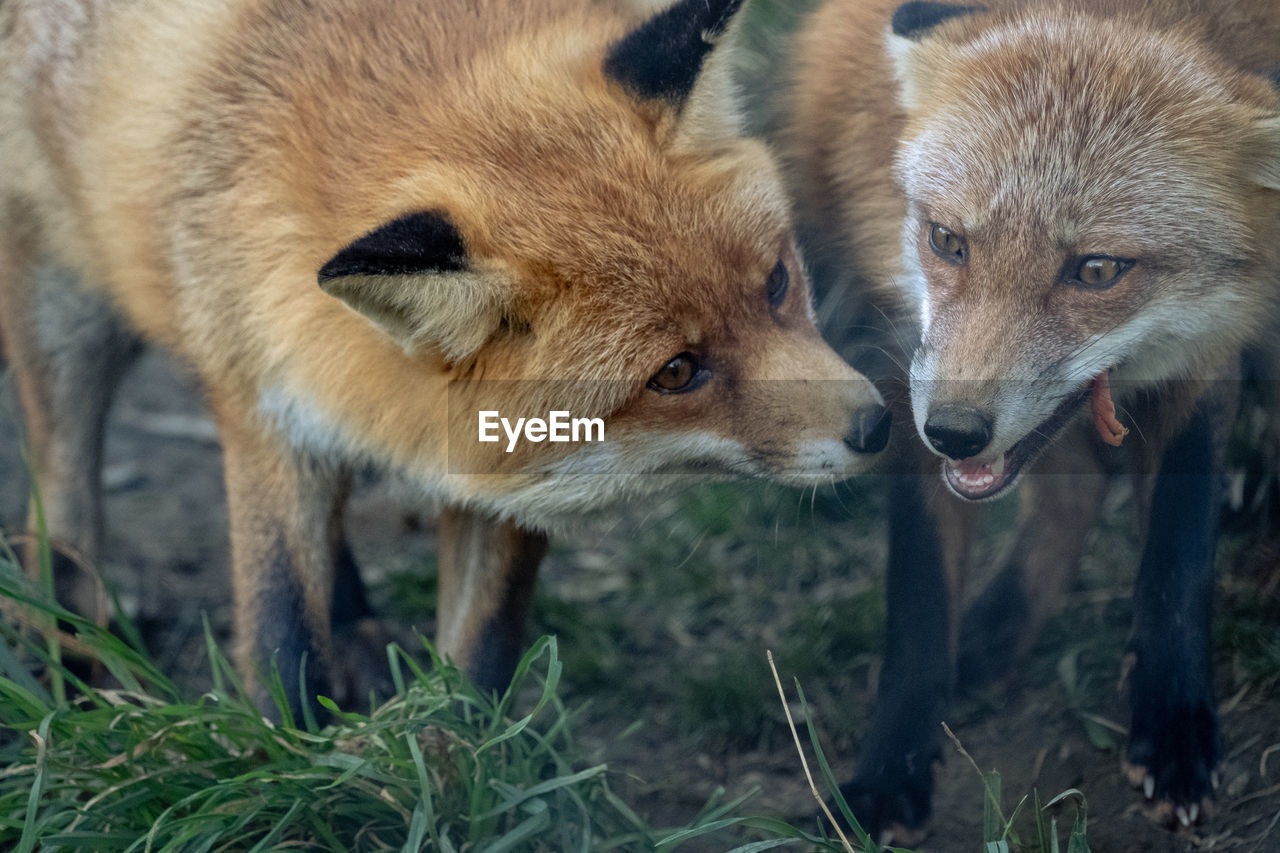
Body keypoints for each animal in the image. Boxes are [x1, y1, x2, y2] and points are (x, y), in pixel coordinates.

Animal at [0, 0, 890, 717]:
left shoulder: (508, 471)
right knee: (61, 501)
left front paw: (452, 775)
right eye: (676, 372)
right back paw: (73, 670)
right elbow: (283, 632)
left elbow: (478, 664)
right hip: (67, 307)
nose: (876, 425)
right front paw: (305, 773)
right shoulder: (258, 394)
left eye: (777, 282)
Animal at [778, 0, 1280, 840]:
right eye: (947, 241)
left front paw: (1174, 725)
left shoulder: (1208, 349)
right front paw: (890, 769)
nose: (954, 430)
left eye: (1097, 269)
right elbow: (918, 599)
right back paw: (997, 631)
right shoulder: (908, 360)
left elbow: (1176, 557)